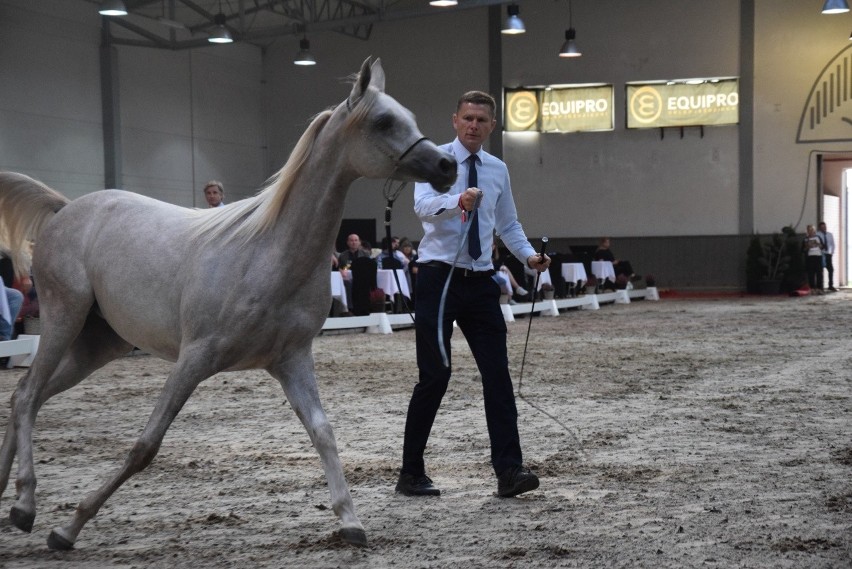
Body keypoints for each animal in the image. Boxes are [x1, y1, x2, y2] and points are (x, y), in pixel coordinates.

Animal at [0, 55, 460, 548]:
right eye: (383, 121)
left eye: (408, 116)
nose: (447, 165)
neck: (268, 253)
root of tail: (66, 208)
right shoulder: (194, 358)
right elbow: (146, 446)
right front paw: (69, 527)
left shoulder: (292, 360)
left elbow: (323, 432)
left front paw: (351, 522)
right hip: (63, 317)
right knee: (27, 396)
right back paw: (25, 505)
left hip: (99, 344)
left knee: (26, 397)